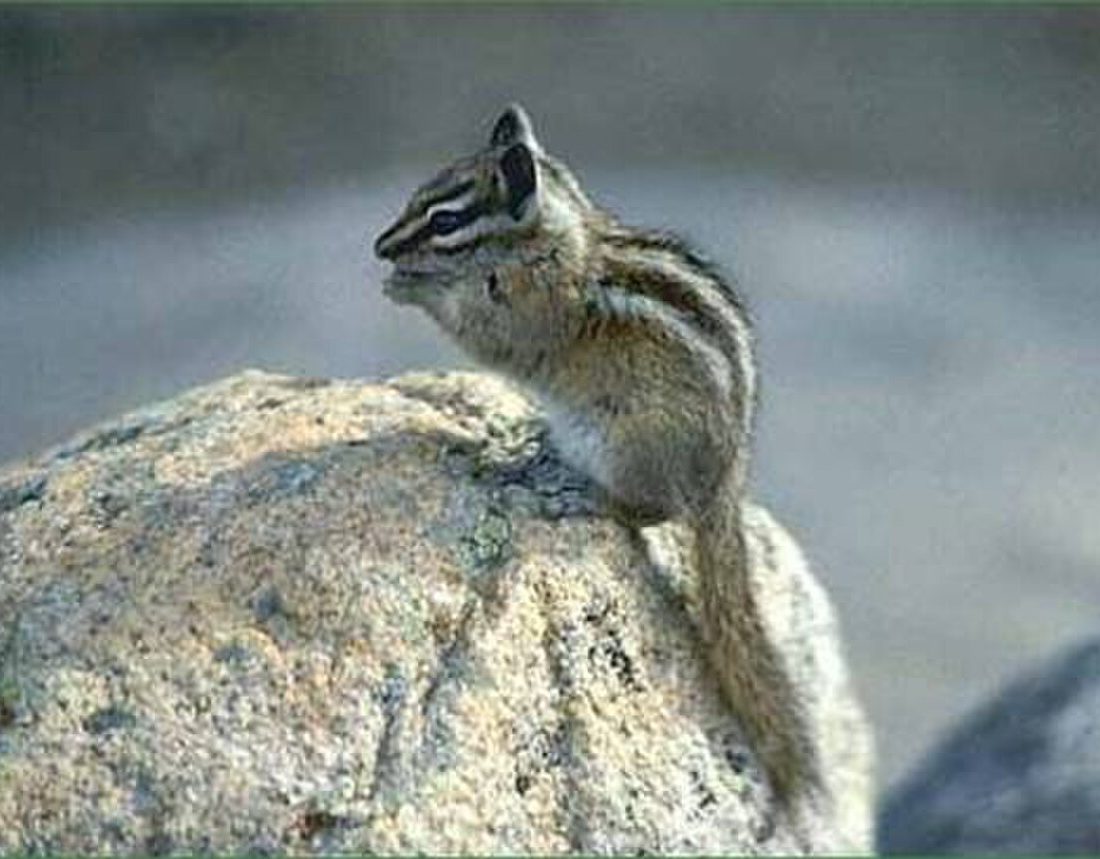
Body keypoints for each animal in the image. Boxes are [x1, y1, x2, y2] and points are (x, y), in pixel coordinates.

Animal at [373, 104, 822, 815]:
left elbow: (487, 334)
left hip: (627, 445)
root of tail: (724, 482)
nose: (380, 248)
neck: (551, 239)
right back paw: (530, 448)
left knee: (648, 511)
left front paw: (410, 287)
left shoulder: (530, 311)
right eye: (418, 195)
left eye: (444, 221)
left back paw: (575, 492)